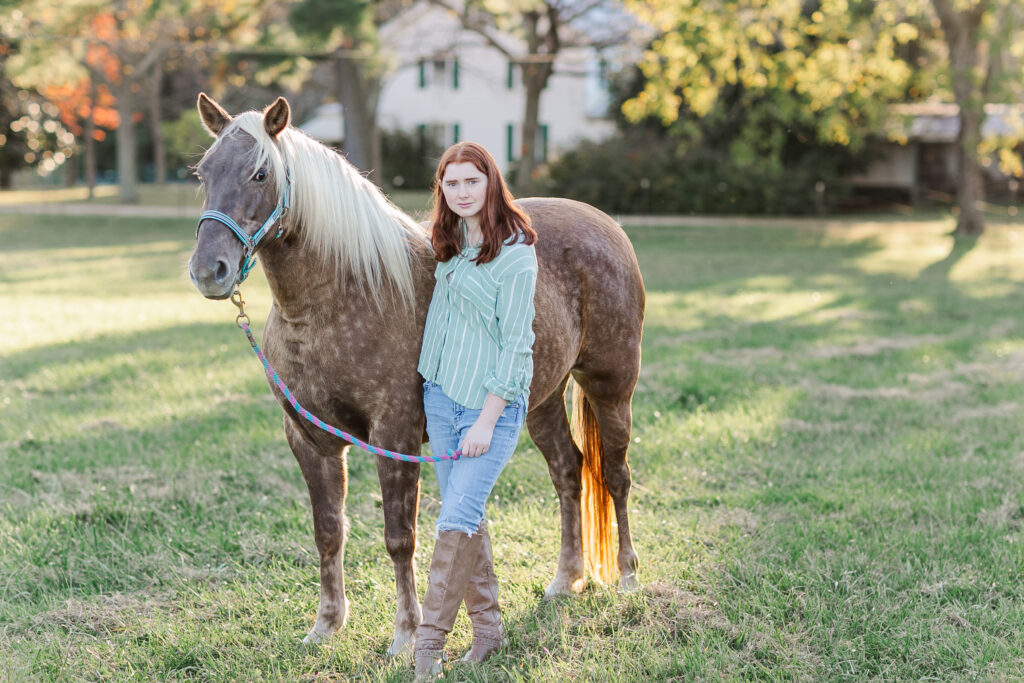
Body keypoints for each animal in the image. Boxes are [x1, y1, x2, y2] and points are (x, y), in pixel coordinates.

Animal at [188, 93, 643, 655]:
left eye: (259, 173)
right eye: (203, 173)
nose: (209, 270)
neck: (338, 298)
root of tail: (607, 225)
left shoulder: (396, 433)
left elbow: (398, 536)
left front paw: (405, 634)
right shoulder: (309, 439)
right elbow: (328, 532)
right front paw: (326, 625)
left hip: (610, 387)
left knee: (615, 474)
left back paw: (626, 577)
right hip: (540, 400)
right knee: (568, 470)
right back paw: (565, 580)